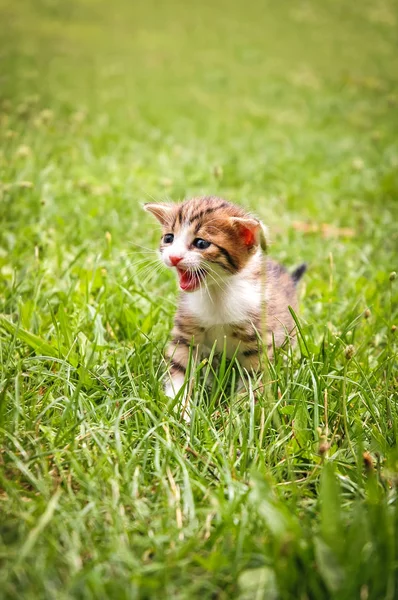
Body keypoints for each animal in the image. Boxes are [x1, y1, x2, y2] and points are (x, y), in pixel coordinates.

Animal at [145, 197, 306, 408]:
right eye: (169, 238)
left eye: (201, 243)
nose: (173, 257)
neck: (216, 293)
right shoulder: (186, 330)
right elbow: (180, 367)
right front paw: (177, 406)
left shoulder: (257, 335)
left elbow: (253, 375)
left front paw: (243, 409)